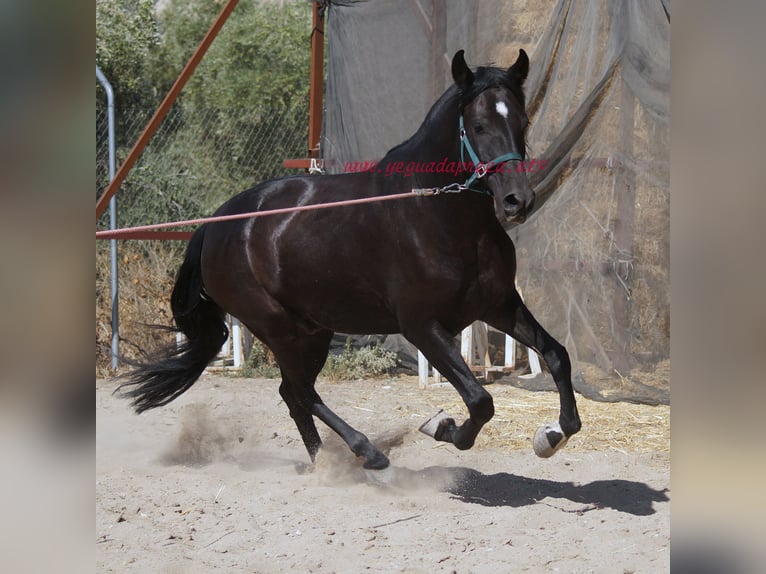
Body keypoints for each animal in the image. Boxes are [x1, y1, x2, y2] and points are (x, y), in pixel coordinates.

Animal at [118, 50, 584, 472]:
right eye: (478, 125)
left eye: (522, 122)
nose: (517, 201)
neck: (438, 216)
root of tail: (215, 225)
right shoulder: (422, 326)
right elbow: (479, 399)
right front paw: (442, 427)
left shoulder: (499, 306)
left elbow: (557, 355)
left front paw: (551, 435)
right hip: (278, 327)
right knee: (301, 392)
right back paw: (367, 454)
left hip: (314, 329)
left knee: (294, 395)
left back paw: (324, 463)